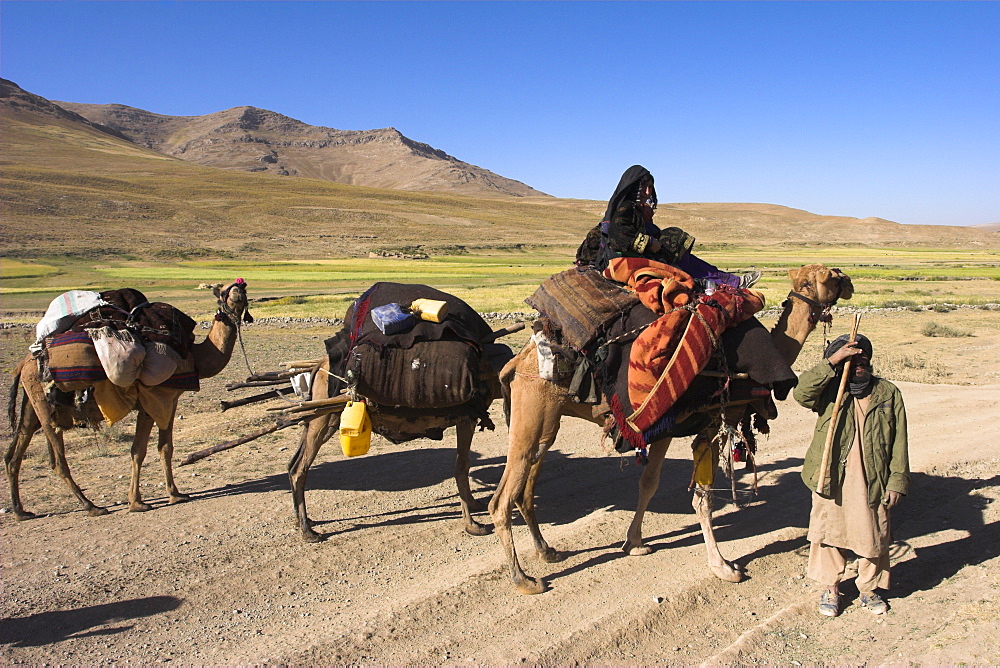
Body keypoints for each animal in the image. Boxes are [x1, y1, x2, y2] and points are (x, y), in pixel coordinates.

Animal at [6, 280, 254, 520]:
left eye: (242, 289)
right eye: (223, 291)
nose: (237, 292)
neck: (194, 358)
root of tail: (23, 364)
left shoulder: (170, 401)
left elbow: (165, 447)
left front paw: (175, 493)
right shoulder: (154, 398)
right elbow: (140, 450)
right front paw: (138, 503)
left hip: (33, 404)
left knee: (15, 451)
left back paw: (21, 511)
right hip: (44, 404)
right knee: (57, 460)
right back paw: (91, 506)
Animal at [488, 264, 856, 592]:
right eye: (825, 277)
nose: (848, 281)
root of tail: (517, 360)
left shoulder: (664, 427)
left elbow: (649, 484)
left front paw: (634, 543)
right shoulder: (712, 421)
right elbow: (703, 497)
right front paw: (723, 566)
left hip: (545, 420)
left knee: (526, 485)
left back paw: (546, 551)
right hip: (534, 407)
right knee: (503, 497)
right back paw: (524, 580)